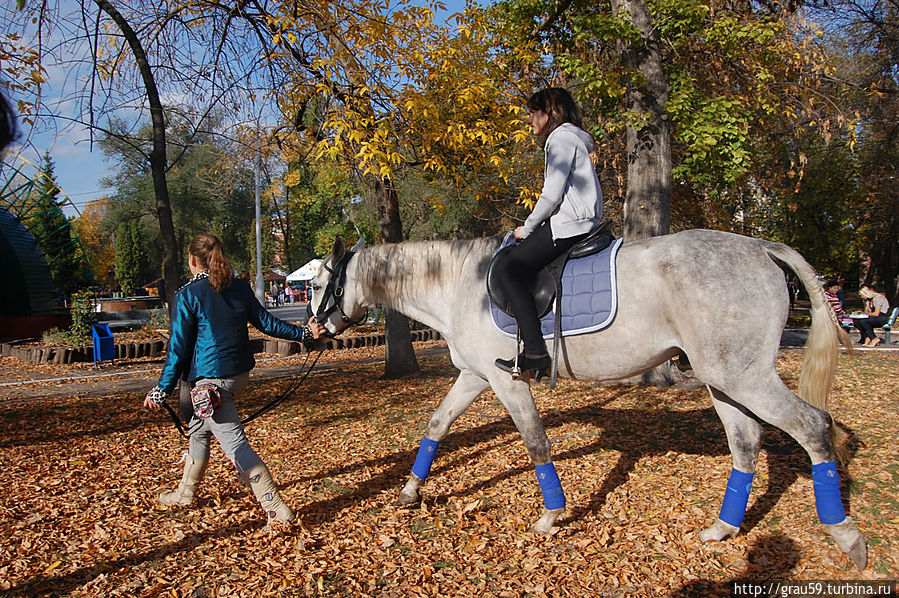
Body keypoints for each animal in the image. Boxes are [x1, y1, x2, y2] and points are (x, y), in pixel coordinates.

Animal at [308, 231, 864, 572]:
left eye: (316, 283)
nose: (314, 328)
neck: (459, 285)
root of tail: (758, 246)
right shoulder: (474, 377)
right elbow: (437, 426)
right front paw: (409, 490)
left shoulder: (507, 382)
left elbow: (536, 443)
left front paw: (551, 516)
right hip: (724, 381)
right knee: (747, 442)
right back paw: (723, 528)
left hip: (743, 377)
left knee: (814, 426)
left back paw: (844, 535)